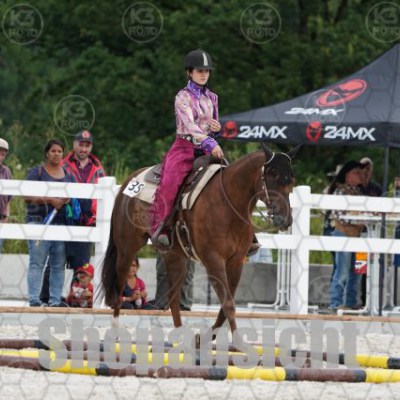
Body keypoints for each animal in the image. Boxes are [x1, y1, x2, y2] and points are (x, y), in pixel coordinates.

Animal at [101, 145, 298, 344]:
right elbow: (228, 303)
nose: (285, 220)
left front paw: (203, 338)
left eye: (291, 180)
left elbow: (226, 304)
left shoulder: (236, 262)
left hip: (174, 256)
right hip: (126, 249)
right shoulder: (214, 261)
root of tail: (130, 180)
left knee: (173, 298)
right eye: (272, 175)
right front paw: (238, 343)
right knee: (118, 289)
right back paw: (113, 333)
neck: (227, 203)